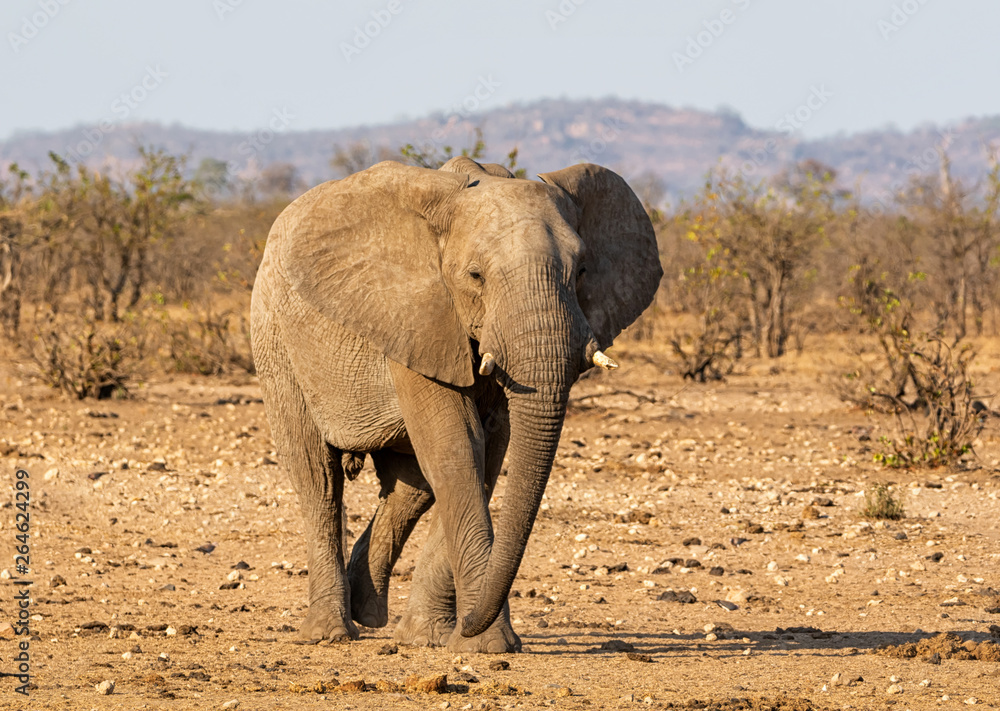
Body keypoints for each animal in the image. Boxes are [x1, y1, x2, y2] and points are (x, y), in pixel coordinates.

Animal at [249, 156, 662, 653]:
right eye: (475, 276)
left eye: (582, 271)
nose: (471, 625)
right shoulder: (418, 313)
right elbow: (459, 448)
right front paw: (488, 644)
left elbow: (487, 452)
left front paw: (441, 639)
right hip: (274, 338)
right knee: (318, 478)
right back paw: (329, 633)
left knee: (410, 488)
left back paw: (370, 613)